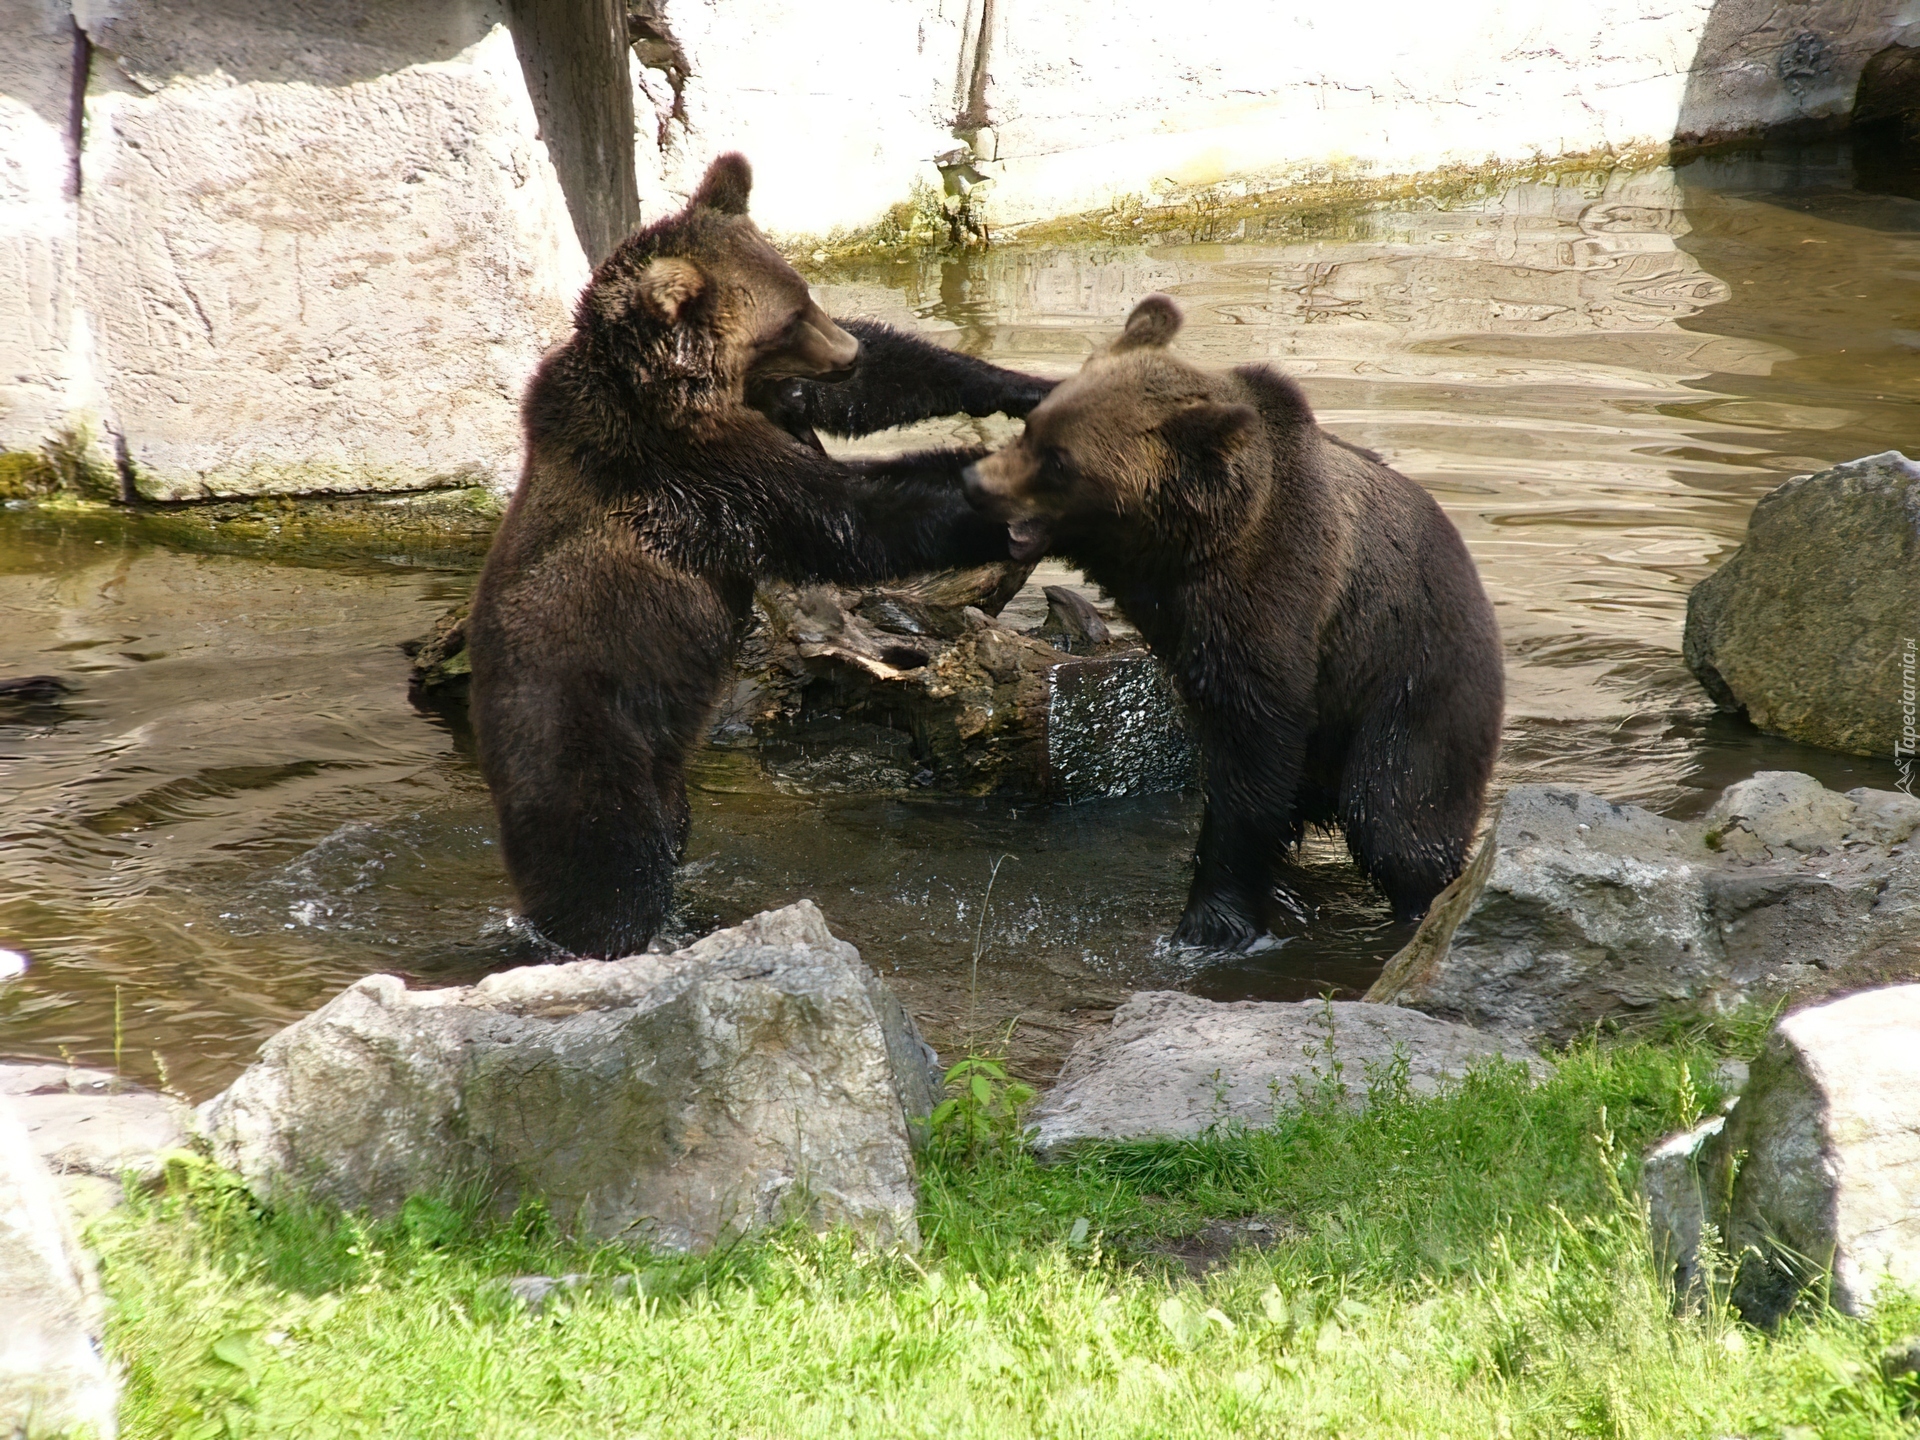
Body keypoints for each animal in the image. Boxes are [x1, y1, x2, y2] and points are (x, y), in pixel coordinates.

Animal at [470, 155, 1059, 960]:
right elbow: (848, 519)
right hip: (579, 726)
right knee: (606, 858)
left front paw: (1024, 386)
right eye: (789, 317)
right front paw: (1000, 503)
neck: (687, 392)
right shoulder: (693, 474)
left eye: (806, 294)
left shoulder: (770, 404)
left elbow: (875, 393)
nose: (845, 350)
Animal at [960, 293, 1497, 948]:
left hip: (1414, 682)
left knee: (1398, 816)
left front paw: (1211, 922)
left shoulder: (1273, 593)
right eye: (1032, 427)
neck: (1180, 549)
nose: (975, 482)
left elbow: (1253, 753)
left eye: (1059, 462)